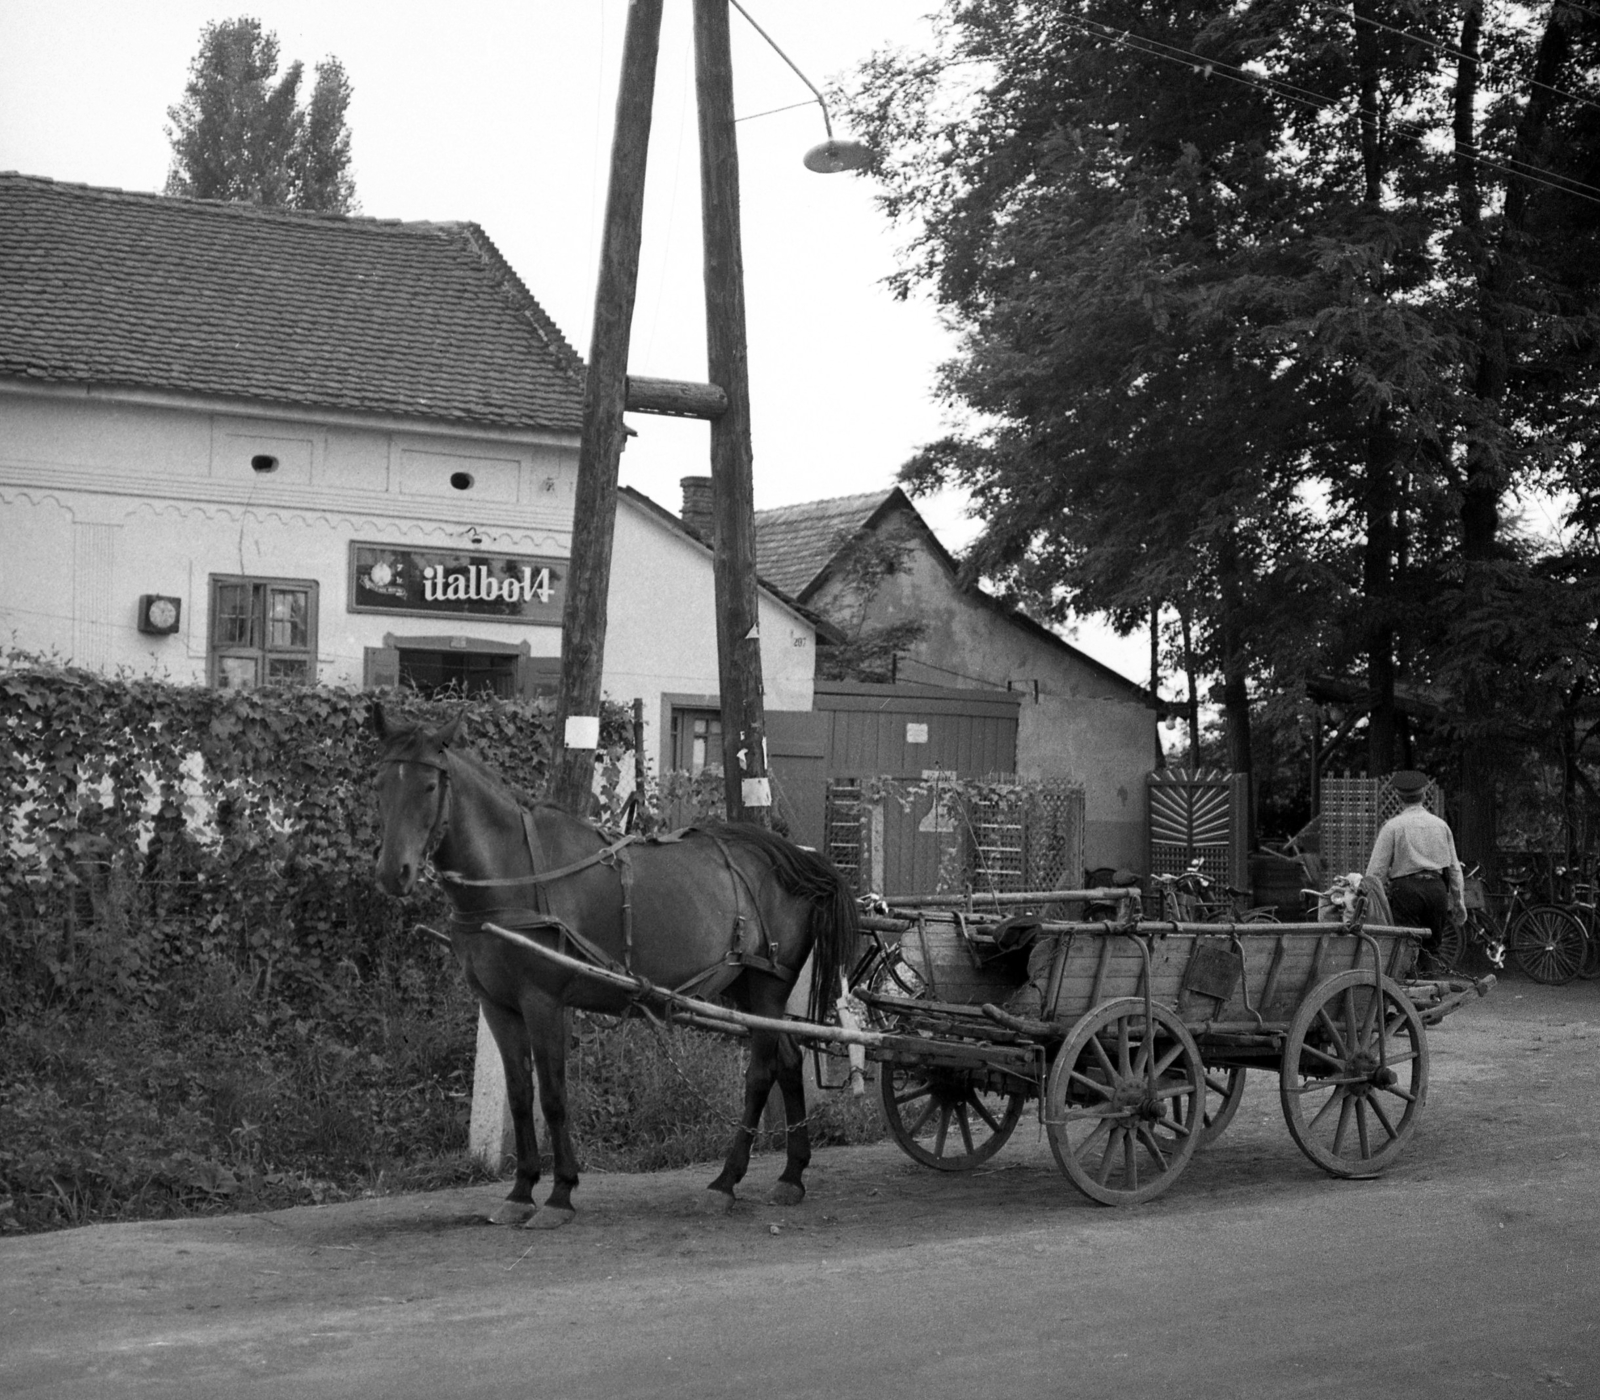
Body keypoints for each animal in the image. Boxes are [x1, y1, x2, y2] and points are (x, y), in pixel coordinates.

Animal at [368, 707, 857, 1228]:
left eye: (429, 786)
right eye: (379, 783)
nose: (393, 873)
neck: (516, 872)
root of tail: (794, 856)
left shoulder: (544, 1002)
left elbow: (553, 1096)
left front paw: (560, 1193)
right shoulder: (497, 1006)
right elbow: (520, 1096)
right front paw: (520, 1191)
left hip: (767, 986)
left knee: (761, 1073)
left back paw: (726, 1181)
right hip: (743, 989)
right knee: (788, 1060)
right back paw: (791, 1174)